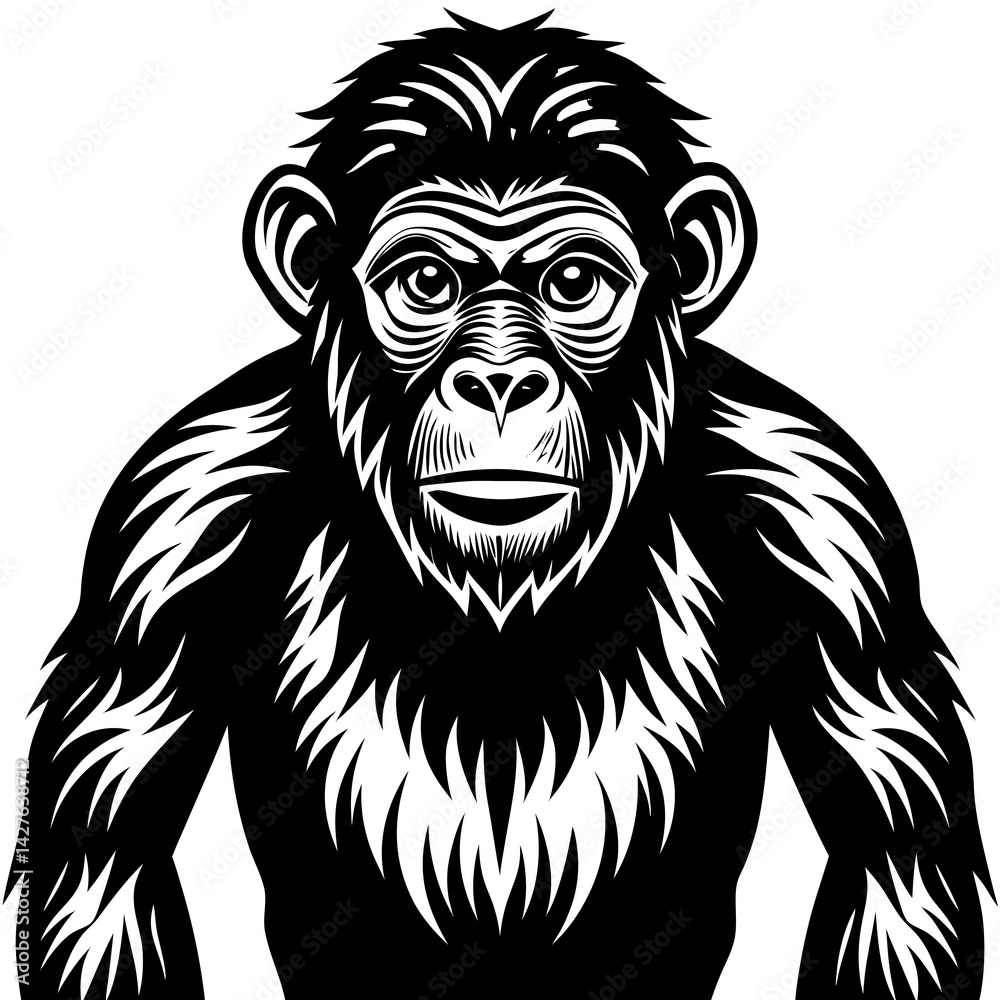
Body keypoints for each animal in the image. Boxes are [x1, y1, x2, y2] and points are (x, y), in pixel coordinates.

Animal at [7, 13, 992, 999]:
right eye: (425, 284)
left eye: (575, 284)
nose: (500, 381)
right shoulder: (172, 522)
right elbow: (111, 867)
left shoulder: (827, 524)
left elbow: (890, 867)